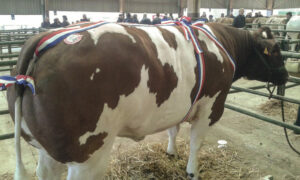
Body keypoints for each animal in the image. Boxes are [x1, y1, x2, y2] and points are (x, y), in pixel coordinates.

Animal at [7, 22, 288, 180]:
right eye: (275, 50)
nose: (286, 75)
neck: (221, 44)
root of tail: (41, 40)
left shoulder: (180, 103)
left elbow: (173, 129)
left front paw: (172, 152)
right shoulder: (211, 104)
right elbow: (196, 143)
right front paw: (192, 171)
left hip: (45, 145)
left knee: (45, 172)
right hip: (88, 154)